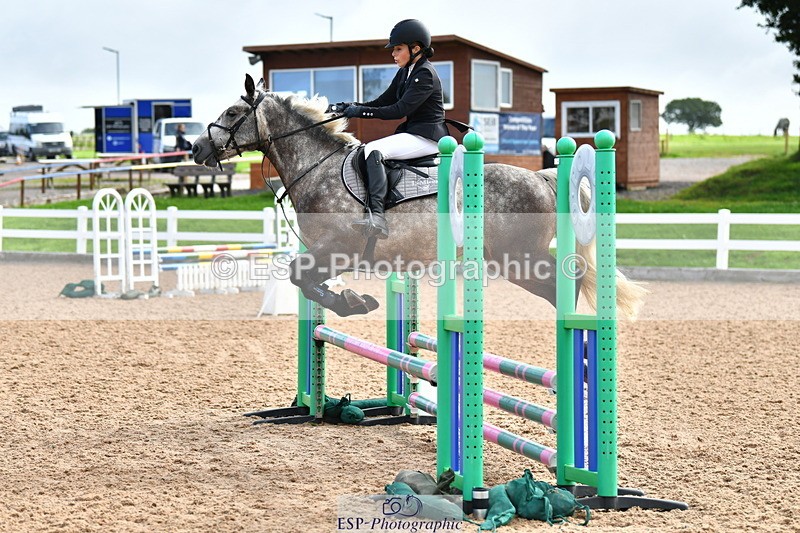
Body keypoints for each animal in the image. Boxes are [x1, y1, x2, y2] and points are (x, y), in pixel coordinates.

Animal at [192, 74, 646, 319]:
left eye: (233, 113)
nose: (197, 149)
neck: (316, 165)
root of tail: (541, 178)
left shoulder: (338, 247)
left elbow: (298, 277)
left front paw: (353, 302)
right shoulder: (327, 252)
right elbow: (304, 282)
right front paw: (353, 299)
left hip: (519, 256)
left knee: (569, 280)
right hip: (512, 260)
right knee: (563, 283)